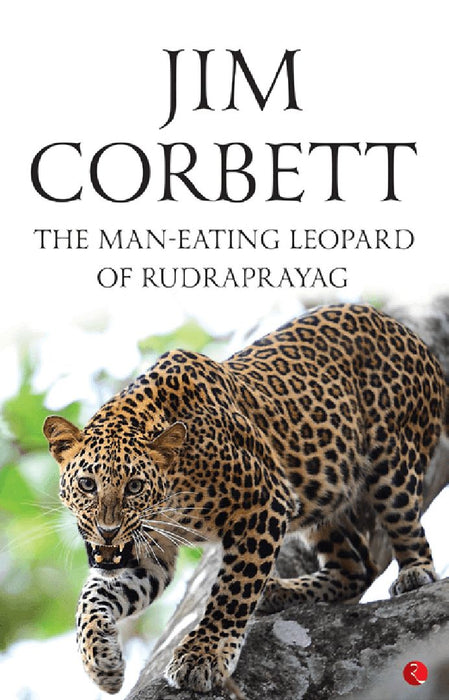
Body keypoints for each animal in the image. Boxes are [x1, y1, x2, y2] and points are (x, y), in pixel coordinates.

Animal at [43, 303, 449, 694]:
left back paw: (414, 572)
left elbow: (233, 589)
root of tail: (408, 333)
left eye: (135, 487)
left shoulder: (265, 502)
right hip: (323, 494)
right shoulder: (149, 550)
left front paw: (203, 655)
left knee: (405, 528)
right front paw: (100, 661)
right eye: (87, 484)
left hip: (392, 464)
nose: (107, 531)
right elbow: (93, 598)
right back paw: (283, 592)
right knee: (357, 567)